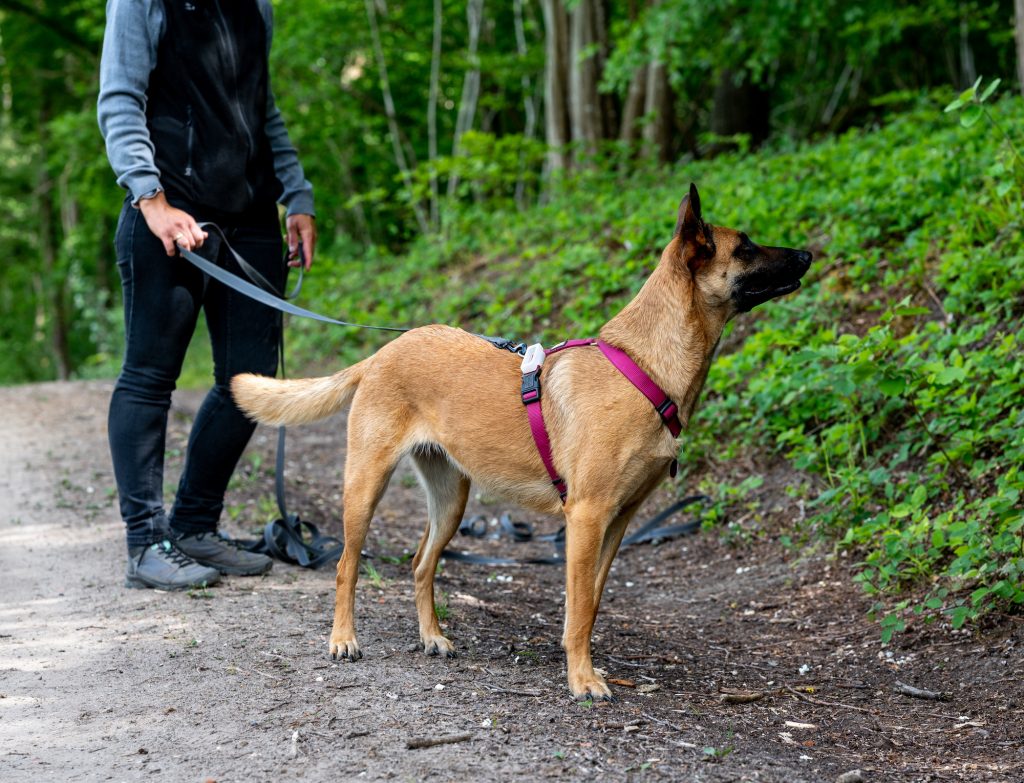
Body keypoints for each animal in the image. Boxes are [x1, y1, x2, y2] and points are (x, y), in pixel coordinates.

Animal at [230, 182, 806, 696]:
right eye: (746, 246)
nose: (807, 253)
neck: (643, 366)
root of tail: (383, 353)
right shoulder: (587, 518)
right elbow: (579, 607)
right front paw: (582, 680)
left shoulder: (618, 522)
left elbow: (590, 601)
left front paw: (580, 663)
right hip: (365, 486)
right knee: (347, 566)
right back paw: (343, 639)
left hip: (451, 501)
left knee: (420, 564)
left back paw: (432, 637)